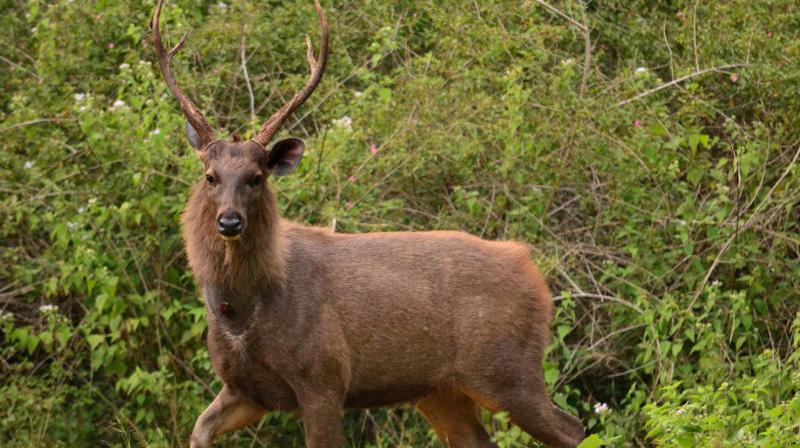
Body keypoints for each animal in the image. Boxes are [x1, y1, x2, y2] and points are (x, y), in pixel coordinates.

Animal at [152, 0, 588, 448]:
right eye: (210, 176)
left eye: (257, 177)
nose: (229, 221)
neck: (243, 312)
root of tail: (532, 270)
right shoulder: (246, 388)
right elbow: (199, 430)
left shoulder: (324, 376)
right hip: (440, 390)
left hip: (508, 368)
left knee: (573, 428)